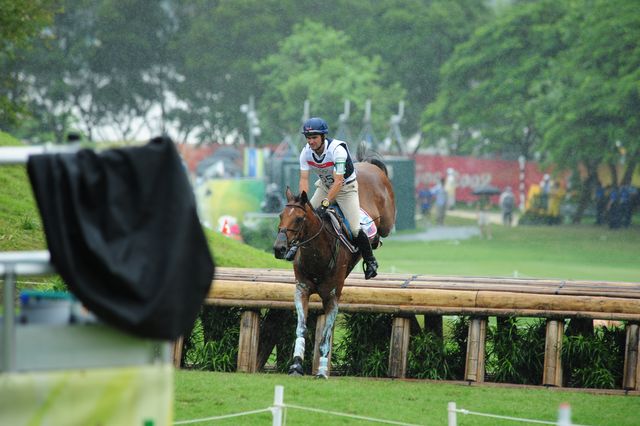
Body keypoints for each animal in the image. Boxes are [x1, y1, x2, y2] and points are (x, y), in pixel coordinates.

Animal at [273, 148, 396, 378]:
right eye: (281, 215)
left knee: (374, 232)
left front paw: (321, 371)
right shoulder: (301, 290)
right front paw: (296, 365)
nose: (279, 248)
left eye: (299, 219)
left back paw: (372, 258)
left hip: (384, 220)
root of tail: (367, 164)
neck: (317, 255)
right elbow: (301, 328)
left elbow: (326, 334)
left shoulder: (332, 297)